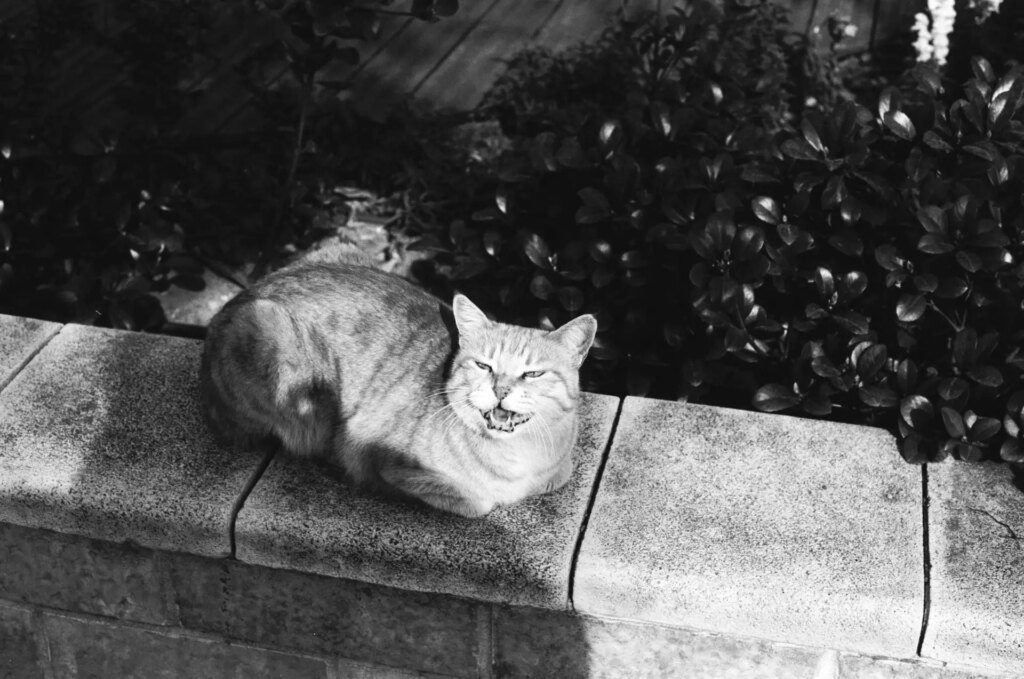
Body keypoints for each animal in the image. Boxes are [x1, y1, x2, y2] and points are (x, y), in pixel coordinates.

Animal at [198, 246, 598, 518]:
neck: (516, 458)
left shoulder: (559, 470)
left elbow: (558, 475)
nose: (500, 389)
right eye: (484, 366)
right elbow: (477, 502)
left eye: (533, 373)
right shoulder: (373, 455)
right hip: (285, 361)